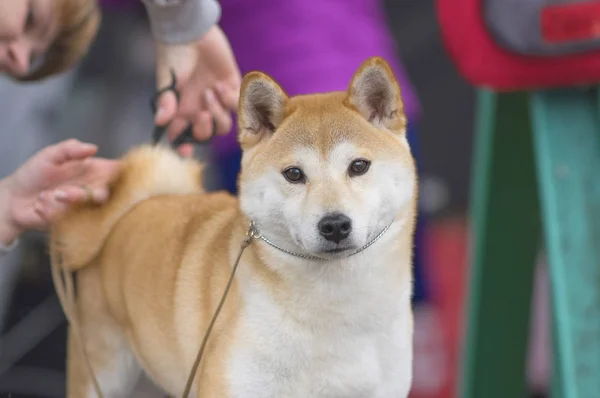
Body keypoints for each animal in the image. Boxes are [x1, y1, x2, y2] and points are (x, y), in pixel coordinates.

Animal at [50, 56, 418, 398]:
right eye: (294, 174)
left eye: (359, 166)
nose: (335, 224)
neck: (335, 309)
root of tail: (135, 207)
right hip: (101, 373)